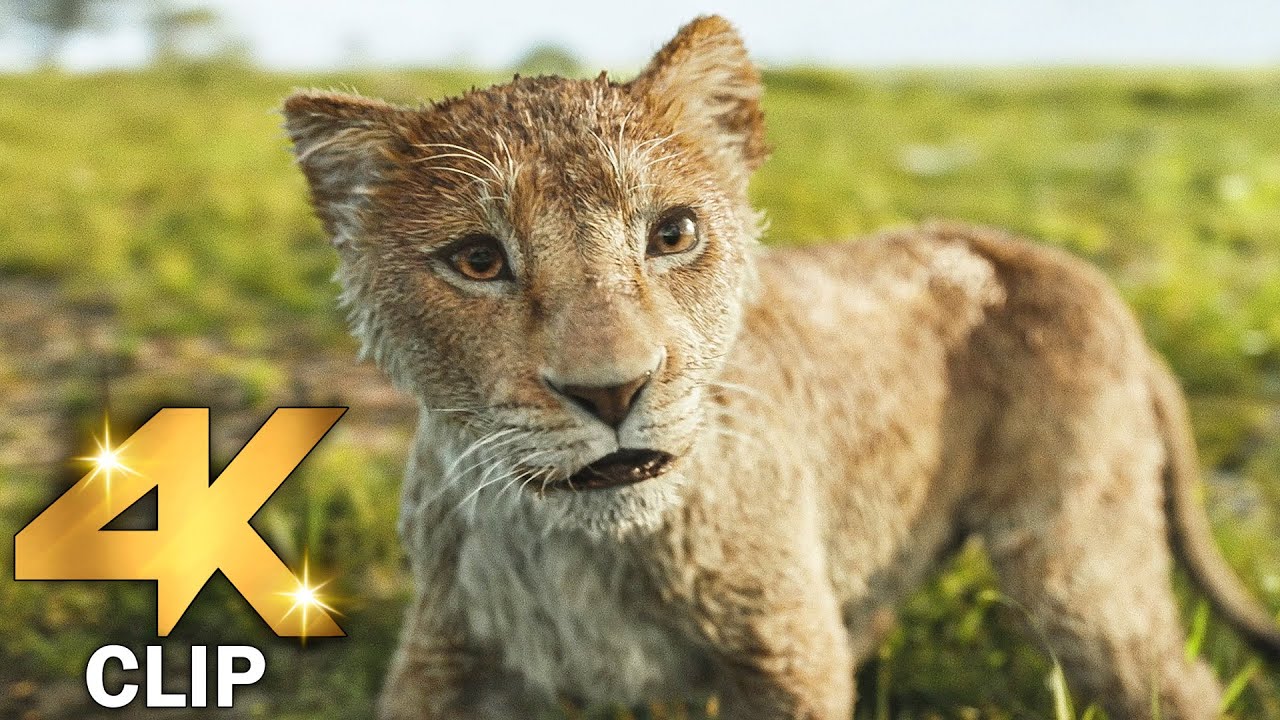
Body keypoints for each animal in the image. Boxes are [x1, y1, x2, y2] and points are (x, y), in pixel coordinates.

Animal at [282, 15, 1280, 719]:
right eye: (478, 261)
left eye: (673, 233)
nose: (612, 390)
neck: (583, 549)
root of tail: (1069, 267)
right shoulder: (443, 656)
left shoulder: (785, 653)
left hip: (1077, 564)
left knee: (1172, 680)